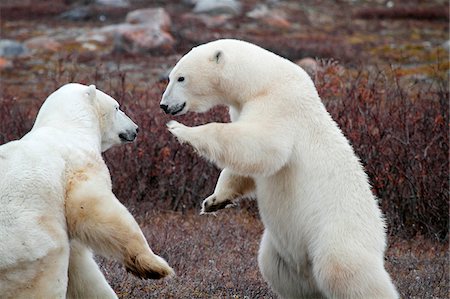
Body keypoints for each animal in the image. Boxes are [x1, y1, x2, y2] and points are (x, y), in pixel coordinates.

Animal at [0, 84, 173, 299]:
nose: (136, 128)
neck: (69, 127)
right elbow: (96, 209)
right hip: (31, 245)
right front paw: (155, 265)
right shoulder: (78, 164)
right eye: (117, 107)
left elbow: (81, 267)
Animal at [161, 38, 398, 298]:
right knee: (276, 269)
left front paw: (181, 130)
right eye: (171, 76)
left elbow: (264, 147)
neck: (262, 80)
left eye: (181, 78)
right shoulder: (243, 107)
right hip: (280, 251)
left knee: (343, 270)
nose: (164, 105)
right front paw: (213, 201)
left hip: (338, 232)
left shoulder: (279, 104)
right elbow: (245, 165)